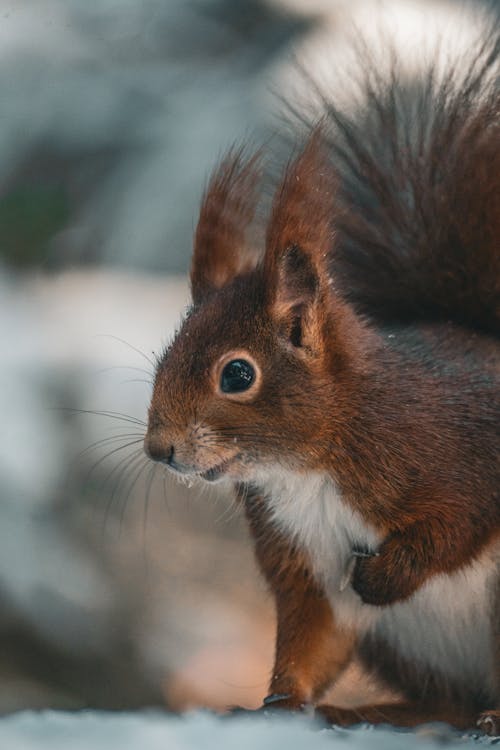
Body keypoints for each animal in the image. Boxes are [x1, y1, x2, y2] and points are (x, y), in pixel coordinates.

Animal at [144, 19, 500, 740]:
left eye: (237, 373)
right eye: (165, 355)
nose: (158, 449)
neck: (306, 468)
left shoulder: (463, 451)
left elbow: (460, 524)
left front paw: (387, 576)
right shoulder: (300, 559)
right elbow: (311, 638)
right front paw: (278, 703)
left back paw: (490, 713)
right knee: (446, 700)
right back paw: (377, 711)